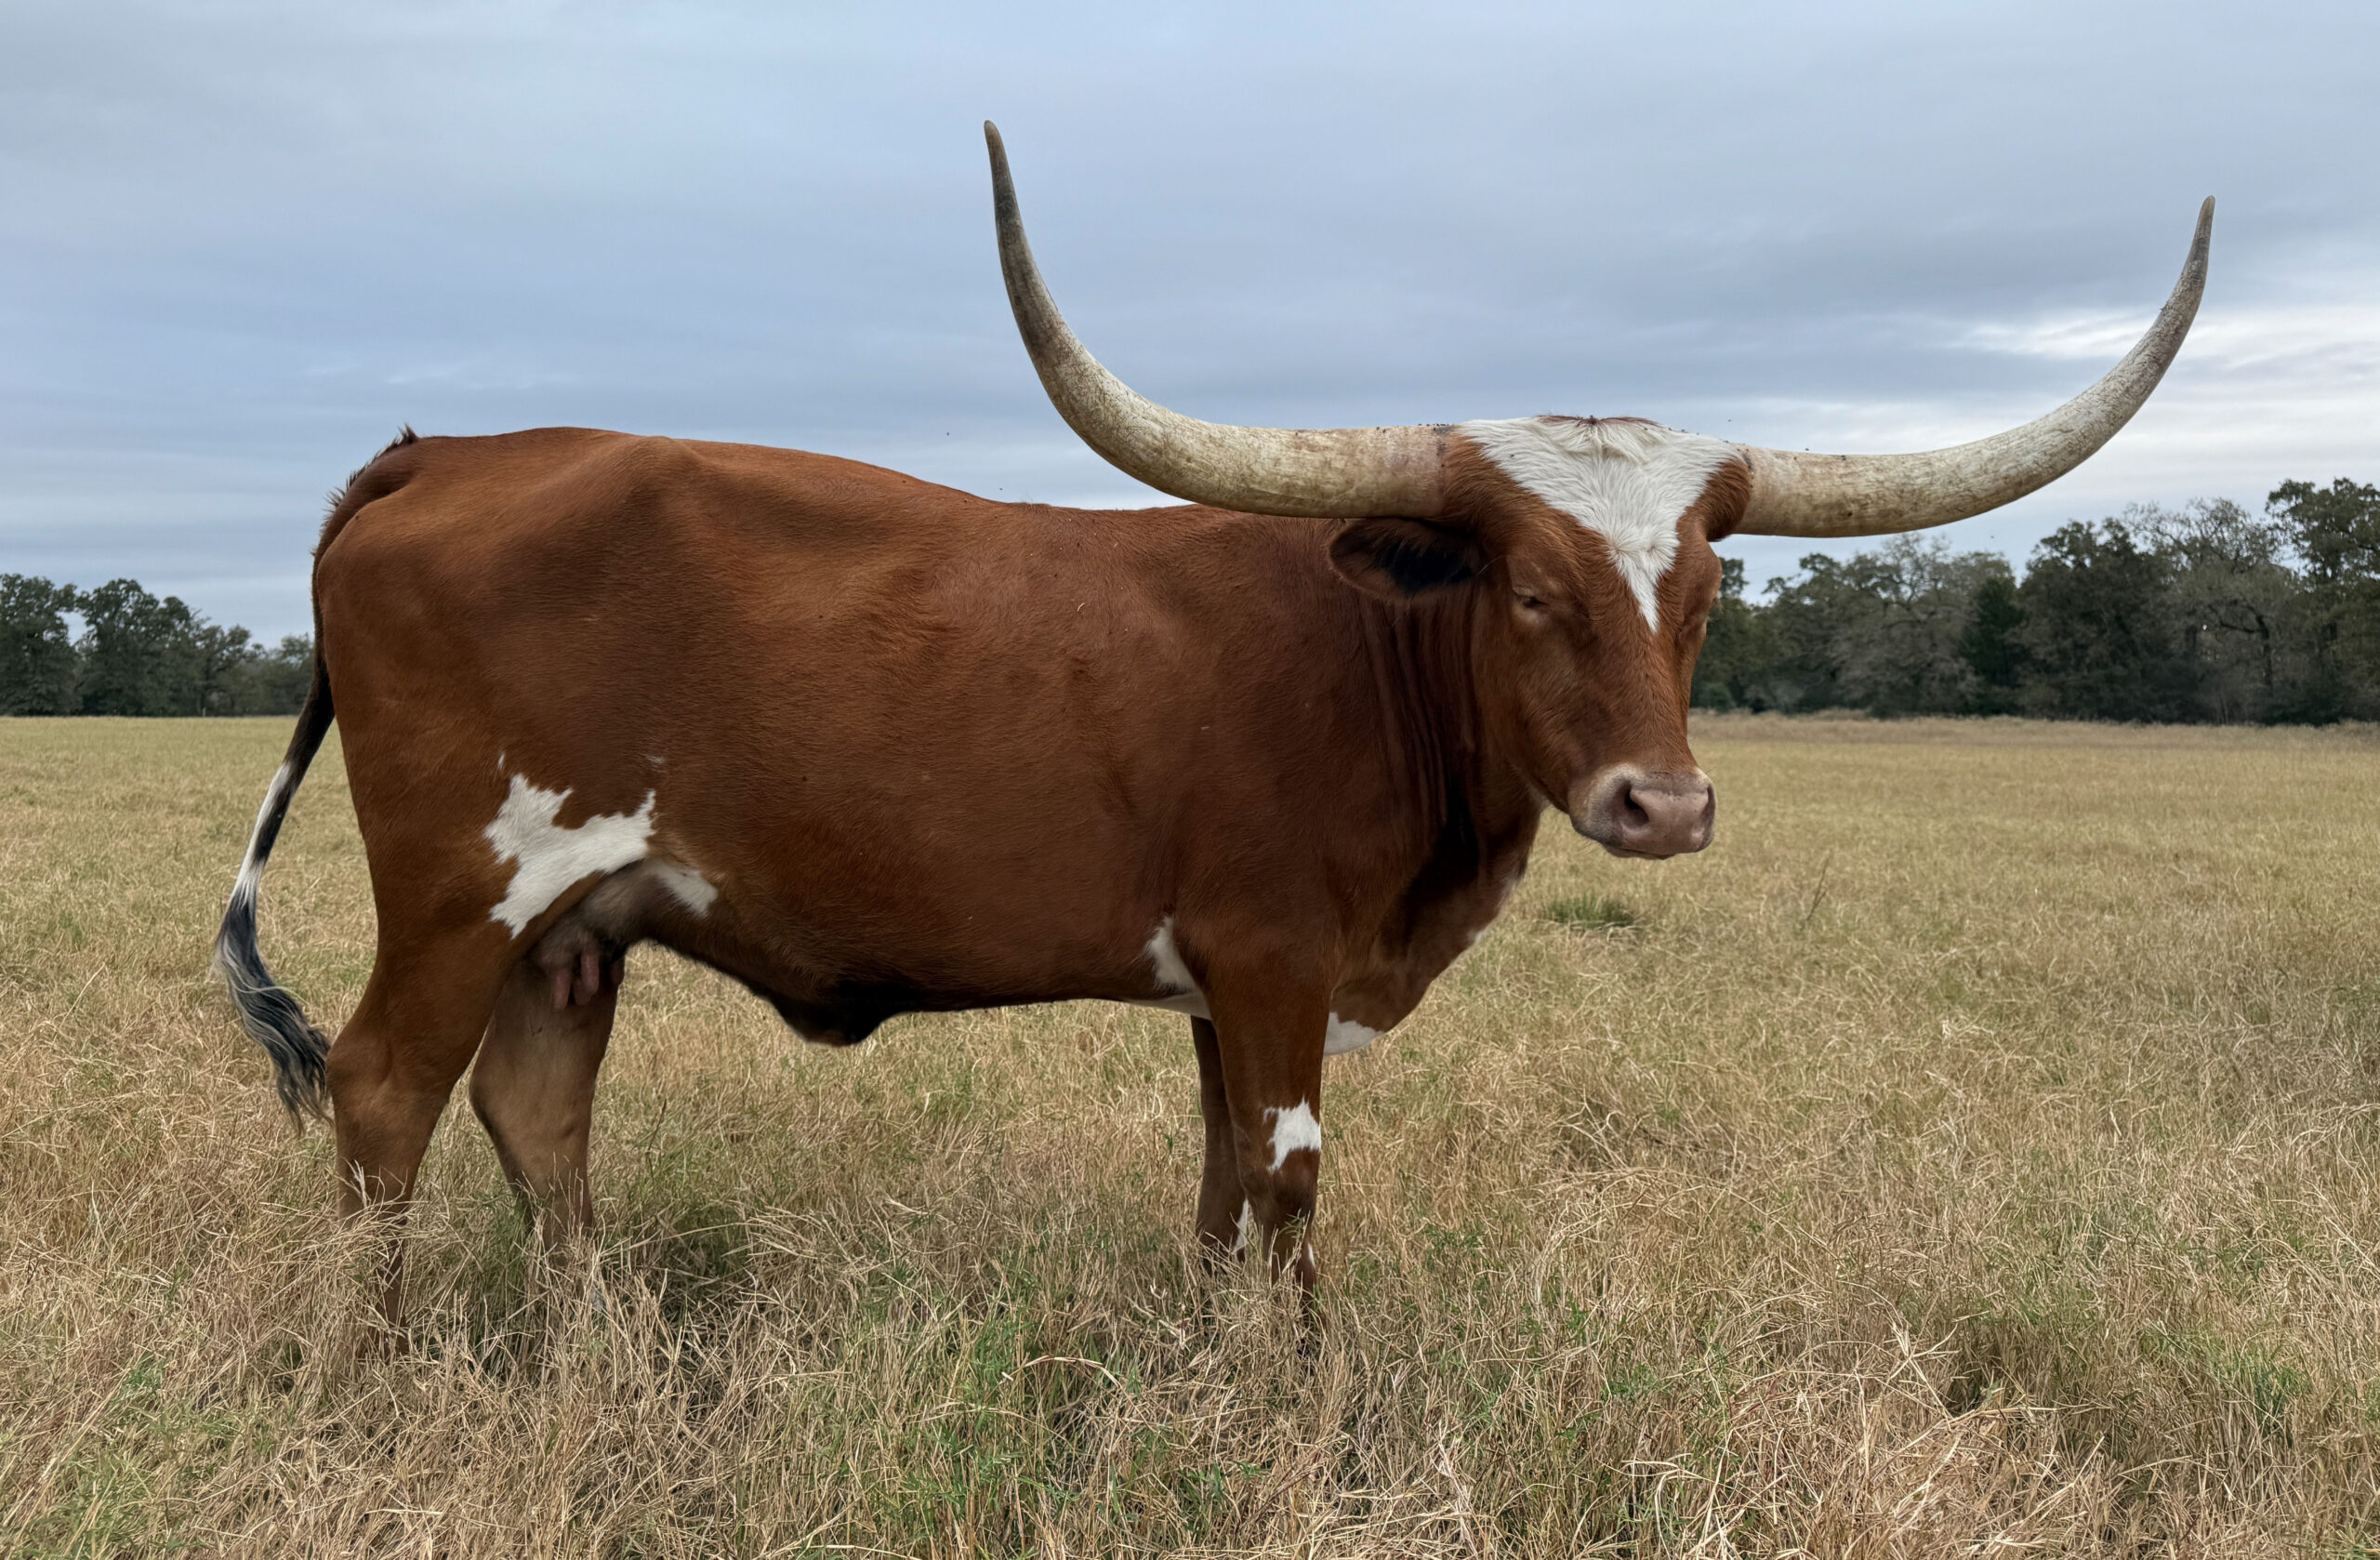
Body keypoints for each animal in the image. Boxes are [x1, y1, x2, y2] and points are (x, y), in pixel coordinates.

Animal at [218, 124, 2210, 1315]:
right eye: (1529, 586)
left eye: (1705, 590)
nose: (1664, 806)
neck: (1372, 657)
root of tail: (445, 450)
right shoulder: (1271, 957)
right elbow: (1290, 1191)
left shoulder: (1227, 990)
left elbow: (1216, 1187)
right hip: (461, 886)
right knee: (385, 1091)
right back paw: (380, 1359)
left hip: (575, 921)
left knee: (534, 1105)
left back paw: (584, 1338)